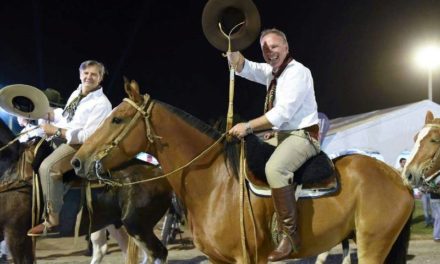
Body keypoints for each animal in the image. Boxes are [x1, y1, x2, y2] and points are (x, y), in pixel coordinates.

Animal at [0, 118, 171, 262]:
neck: (11, 169)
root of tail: (159, 171)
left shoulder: (17, 234)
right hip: (114, 223)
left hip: (137, 226)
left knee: (158, 253)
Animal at [73, 81, 416, 264]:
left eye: (116, 119)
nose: (78, 161)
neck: (214, 184)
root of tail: (397, 179)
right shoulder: (218, 259)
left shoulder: (244, 258)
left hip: (373, 246)